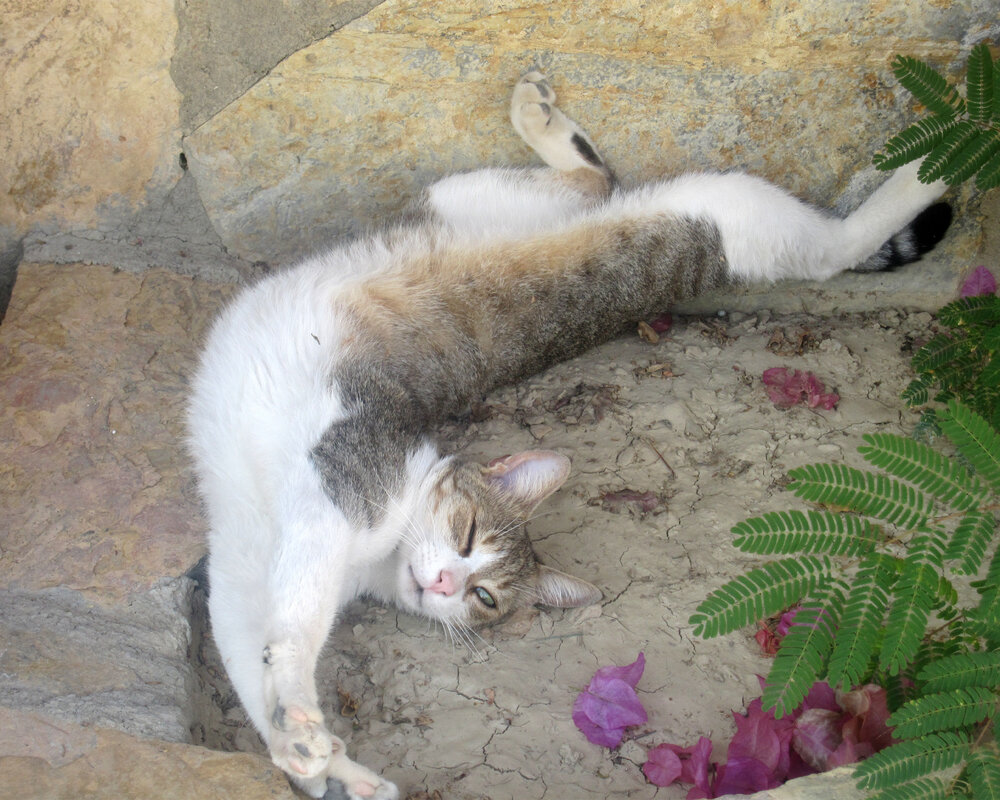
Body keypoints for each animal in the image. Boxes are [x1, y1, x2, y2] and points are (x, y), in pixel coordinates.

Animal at [186, 70, 952, 800]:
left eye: (485, 600)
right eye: (466, 534)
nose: (445, 582)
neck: (380, 549)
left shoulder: (334, 493)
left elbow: (288, 624)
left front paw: (313, 740)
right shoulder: (265, 541)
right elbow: (261, 639)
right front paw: (321, 758)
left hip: (731, 217)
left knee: (826, 245)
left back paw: (935, 160)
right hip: (488, 198)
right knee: (597, 182)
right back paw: (542, 117)